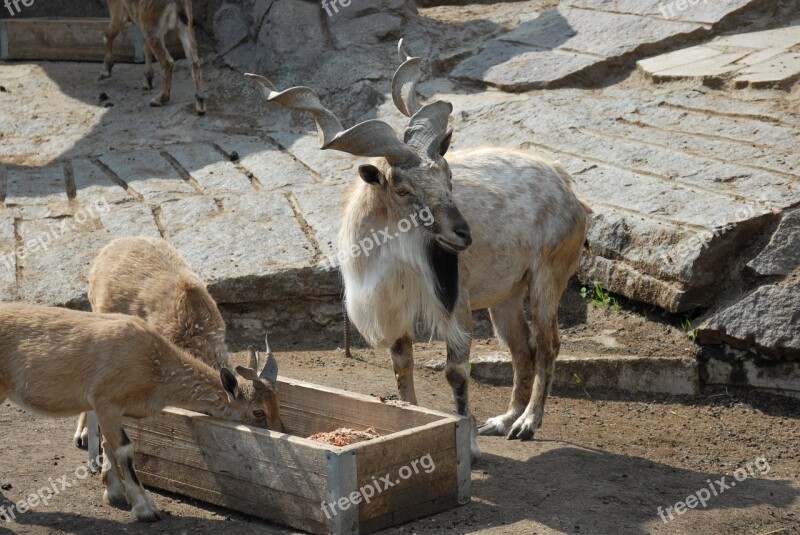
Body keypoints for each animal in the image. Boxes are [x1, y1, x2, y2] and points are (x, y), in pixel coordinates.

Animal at [0, 304, 282, 520]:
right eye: (258, 412)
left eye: (278, 403)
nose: (280, 432)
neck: (152, 367)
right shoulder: (106, 401)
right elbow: (124, 448)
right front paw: (145, 508)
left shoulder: (108, 409)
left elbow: (108, 444)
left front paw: (113, 492)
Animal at [72, 239, 284, 448]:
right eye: (258, 411)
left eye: (277, 403)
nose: (280, 431)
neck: (197, 334)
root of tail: (111, 246)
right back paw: (83, 434)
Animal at [247, 40, 592, 460]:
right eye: (402, 189)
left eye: (448, 175)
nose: (463, 234)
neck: (394, 258)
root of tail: (568, 189)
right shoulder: (394, 312)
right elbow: (402, 367)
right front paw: (412, 424)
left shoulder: (454, 304)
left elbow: (455, 372)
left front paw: (468, 445)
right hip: (506, 295)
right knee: (521, 348)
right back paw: (504, 420)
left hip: (547, 276)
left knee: (547, 344)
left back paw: (526, 424)